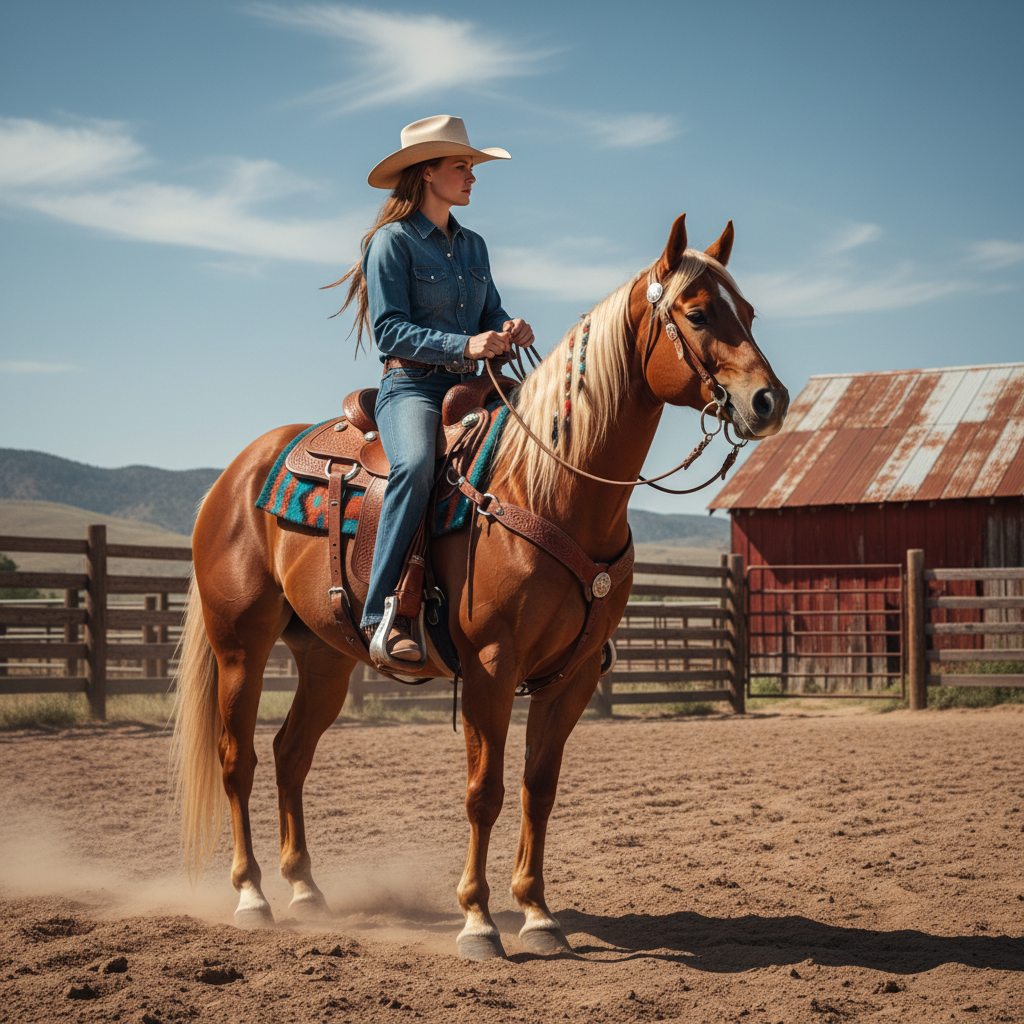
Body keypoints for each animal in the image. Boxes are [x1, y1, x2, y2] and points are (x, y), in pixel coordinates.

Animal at [171, 214, 789, 960]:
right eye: (698, 314)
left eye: (747, 312)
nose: (770, 401)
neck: (550, 486)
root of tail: (236, 474)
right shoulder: (492, 667)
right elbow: (483, 791)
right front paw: (477, 921)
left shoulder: (571, 674)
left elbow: (537, 789)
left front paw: (539, 915)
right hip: (241, 646)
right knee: (239, 760)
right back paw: (252, 896)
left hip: (325, 656)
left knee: (292, 754)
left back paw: (306, 890)